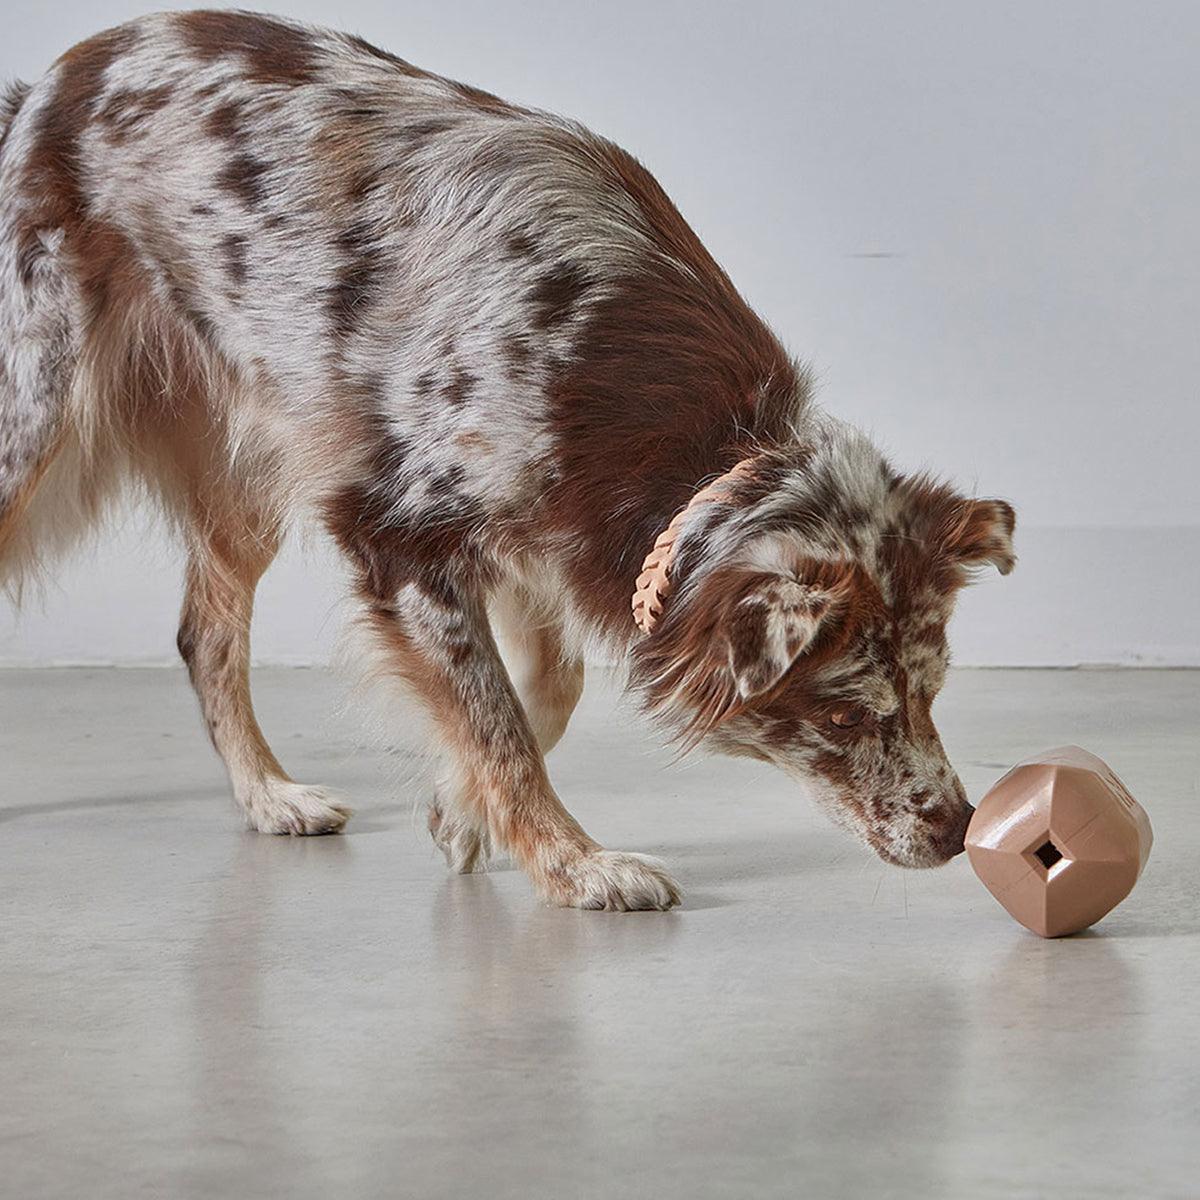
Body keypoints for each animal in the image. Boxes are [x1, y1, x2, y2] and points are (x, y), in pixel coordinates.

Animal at [0, 11, 1017, 907]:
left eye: (930, 691)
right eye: (842, 714)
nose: (957, 830)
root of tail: (45, 84)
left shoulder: (541, 525)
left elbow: (543, 696)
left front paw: (462, 811)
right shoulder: (401, 535)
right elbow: (496, 725)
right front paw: (577, 867)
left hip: (245, 467)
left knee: (203, 636)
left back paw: (269, 797)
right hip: (34, 423)